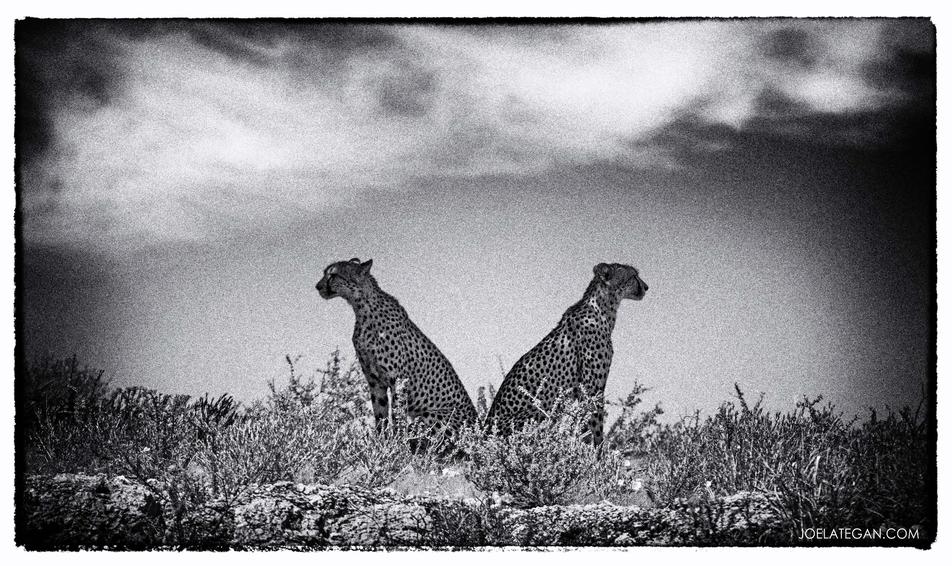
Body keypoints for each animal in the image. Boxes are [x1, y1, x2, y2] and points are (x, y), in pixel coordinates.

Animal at [316, 258, 480, 448]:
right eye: (325, 273)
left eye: (333, 274)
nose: (317, 286)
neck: (362, 308)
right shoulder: (375, 381)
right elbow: (380, 415)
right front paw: (381, 443)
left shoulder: (399, 379)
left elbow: (397, 415)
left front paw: (396, 443)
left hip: (433, 415)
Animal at [488, 262, 652, 448]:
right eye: (633, 276)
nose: (646, 287)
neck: (602, 309)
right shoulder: (591, 389)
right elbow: (594, 427)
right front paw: (595, 453)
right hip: (538, 411)